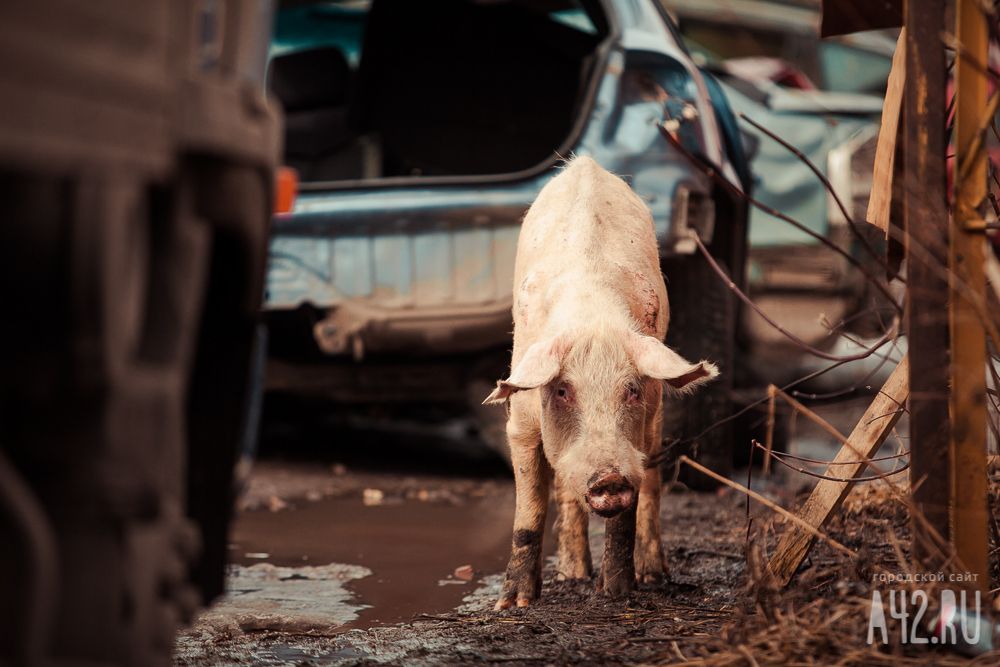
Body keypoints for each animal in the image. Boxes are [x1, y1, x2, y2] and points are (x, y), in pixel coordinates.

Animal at [484, 158, 720, 612]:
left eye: (630, 389)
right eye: (562, 391)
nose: (609, 478)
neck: (592, 316)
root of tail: (585, 163)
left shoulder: (642, 423)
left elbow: (629, 510)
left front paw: (617, 593)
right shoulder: (520, 421)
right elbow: (530, 510)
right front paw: (514, 605)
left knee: (652, 487)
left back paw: (653, 575)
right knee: (563, 490)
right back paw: (573, 573)